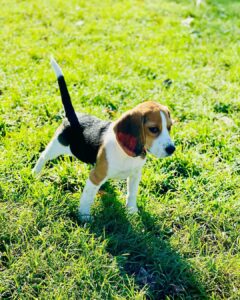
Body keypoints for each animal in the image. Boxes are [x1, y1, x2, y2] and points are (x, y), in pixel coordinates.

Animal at [32, 58, 174, 221]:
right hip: (57, 145)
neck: (125, 153)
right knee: (43, 156)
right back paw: (35, 173)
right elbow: (87, 199)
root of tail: (74, 116)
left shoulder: (135, 174)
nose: (172, 149)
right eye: (153, 129)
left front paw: (132, 211)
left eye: (169, 127)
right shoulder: (95, 177)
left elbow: (131, 194)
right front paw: (85, 217)